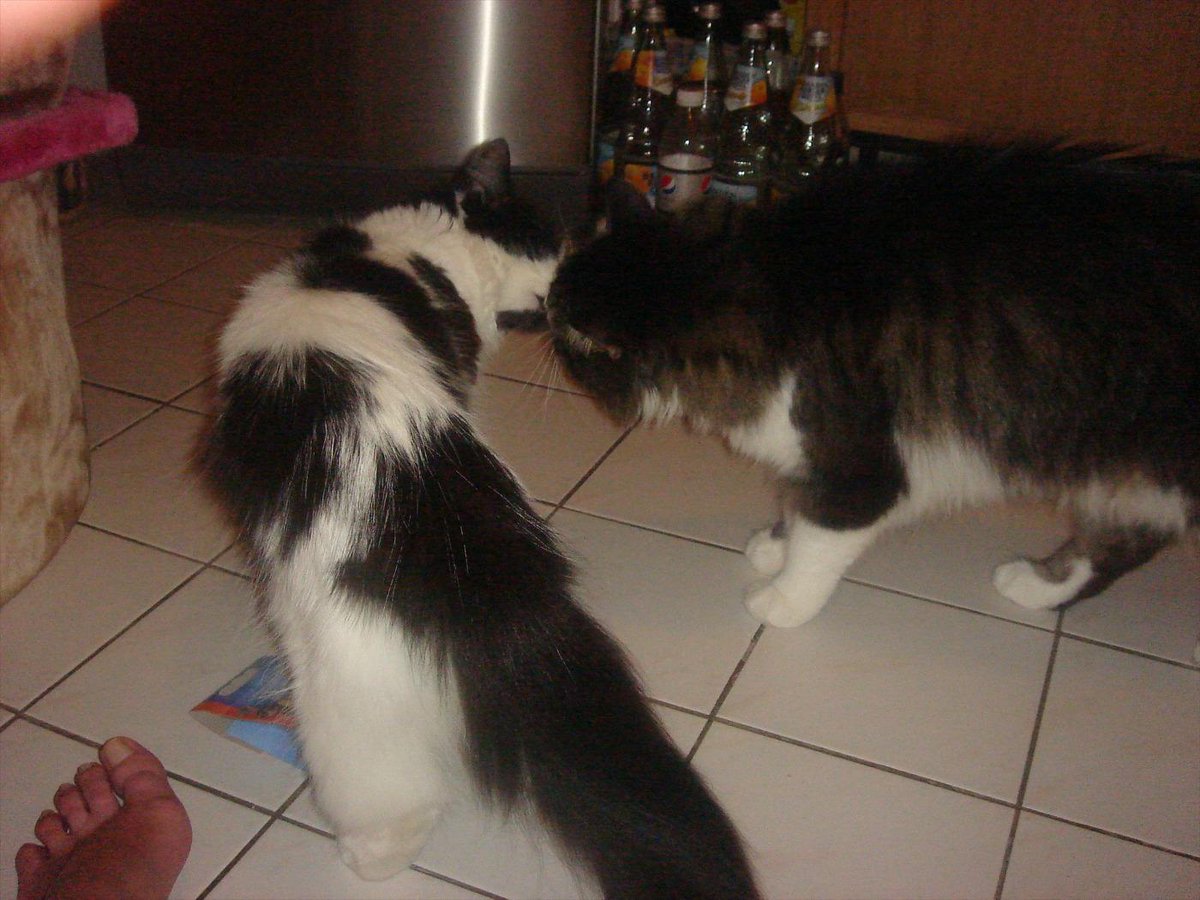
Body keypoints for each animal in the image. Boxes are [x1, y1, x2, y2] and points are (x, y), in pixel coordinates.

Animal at [200, 139, 759, 898]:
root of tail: (475, 558)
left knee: (384, 798)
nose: (571, 282)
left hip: (345, 707)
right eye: (552, 241)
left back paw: (367, 859)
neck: (417, 256)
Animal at [546, 145, 1199, 634]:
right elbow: (796, 508)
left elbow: (819, 540)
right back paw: (1035, 585)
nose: (542, 312)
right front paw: (774, 546)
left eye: (558, 324)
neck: (770, 294)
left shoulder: (862, 467)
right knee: (1116, 544)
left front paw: (783, 600)